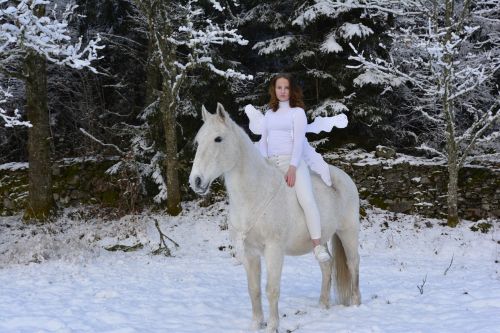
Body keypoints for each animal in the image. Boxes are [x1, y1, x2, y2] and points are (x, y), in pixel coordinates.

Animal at [189, 102, 362, 330]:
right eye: (198, 141)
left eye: (218, 139)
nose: (196, 181)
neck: (256, 194)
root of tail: (344, 177)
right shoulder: (250, 253)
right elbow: (253, 289)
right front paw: (256, 325)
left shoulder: (274, 250)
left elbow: (271, 289)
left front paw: (272, 326)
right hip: (322, 238)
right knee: (327, 265)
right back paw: (323, 305)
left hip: (348, 232)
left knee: (353, 264)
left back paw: (357, 305)